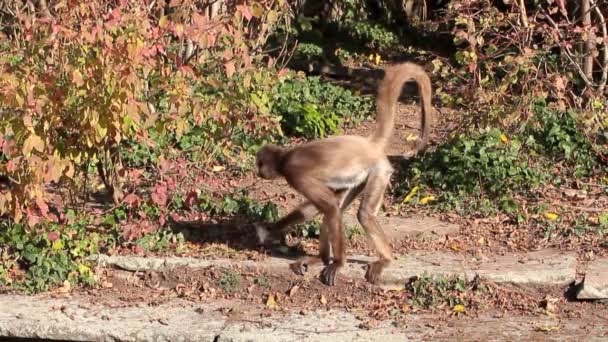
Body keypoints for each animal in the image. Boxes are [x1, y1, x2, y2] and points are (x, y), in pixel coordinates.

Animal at [254, 61, 434, 286]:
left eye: (259, 165)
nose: (257, 171)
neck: (286, 156)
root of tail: (369, 144)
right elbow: (320, 208)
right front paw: (271, 230)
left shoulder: (294, 173)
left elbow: (330, 207)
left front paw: (339, 263)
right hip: (360, 178)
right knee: (336, 208)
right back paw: (321, 259)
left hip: (380, 171)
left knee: (361, 213)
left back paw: (383, 259)